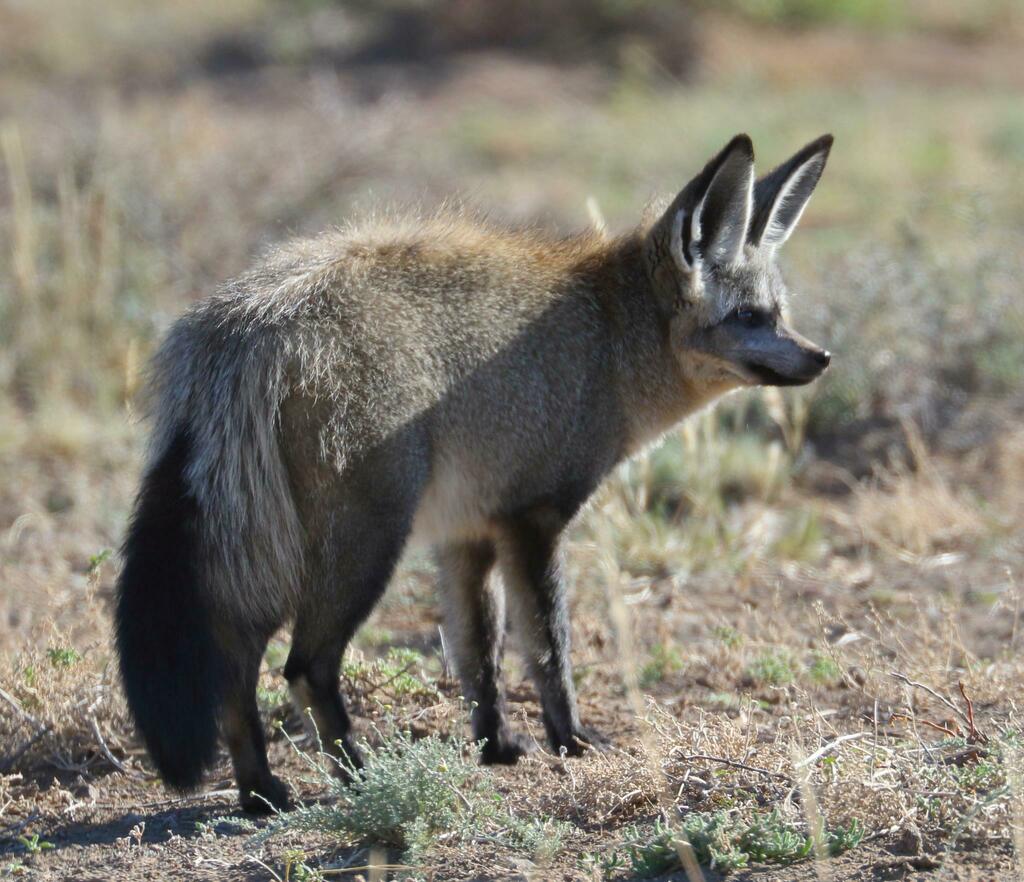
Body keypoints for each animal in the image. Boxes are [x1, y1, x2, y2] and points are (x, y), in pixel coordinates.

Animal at [115, 132, 833, 813]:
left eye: (781, 313)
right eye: (749, 317)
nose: (821, 358)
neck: (607, 336)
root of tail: (245, 322)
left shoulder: (467, 534)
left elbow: (478, 654)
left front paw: (496, 745)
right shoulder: (533, 520)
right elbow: (547, 648)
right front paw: (571, 740)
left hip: (266, 555)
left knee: (235, 668)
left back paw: (261, 790)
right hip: (358, 548)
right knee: (304, 666)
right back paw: (357, 775)